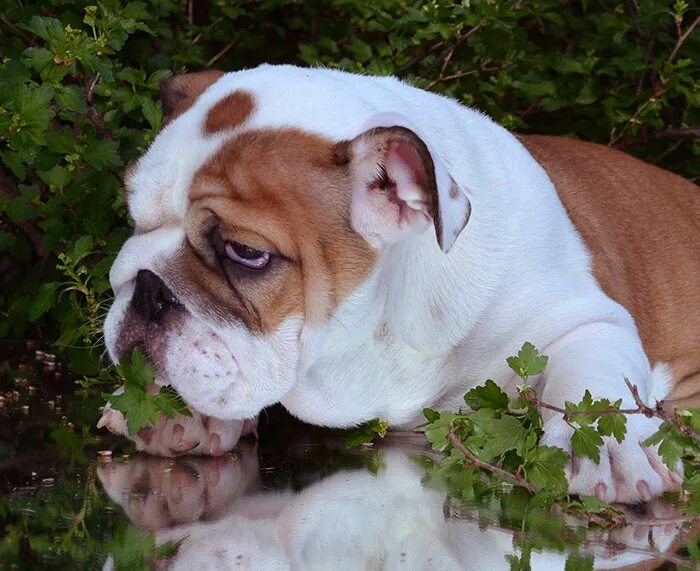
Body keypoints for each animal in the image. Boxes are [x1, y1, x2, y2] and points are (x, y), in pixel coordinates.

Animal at [101, 61, 696, 500]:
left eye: (246, 253)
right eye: (132, 215)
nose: (147, 287)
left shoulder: (584, 316)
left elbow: (592, 370)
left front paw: (603, 447)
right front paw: (171, 408)